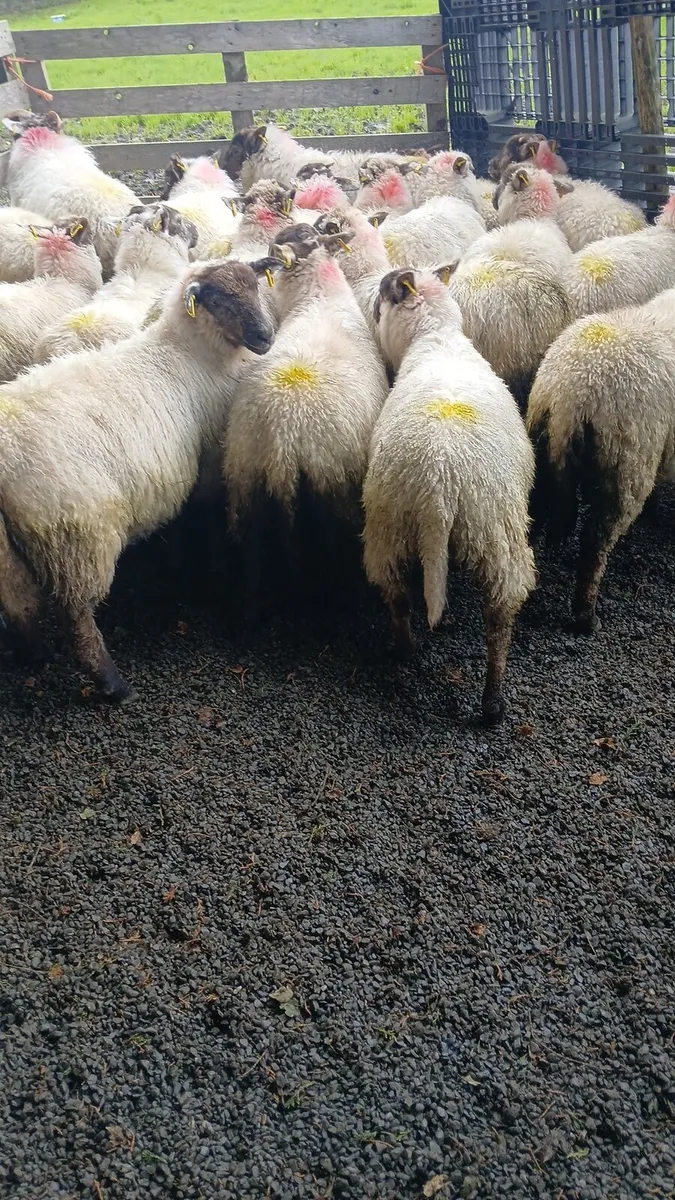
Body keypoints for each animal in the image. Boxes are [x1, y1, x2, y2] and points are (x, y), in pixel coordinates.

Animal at [0, 259, 274, 698]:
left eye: (254, 286)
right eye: (217, 300)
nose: (265, 336)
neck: (190, 351)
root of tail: (7, 450)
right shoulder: (209, 465)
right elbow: (205, 522)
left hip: (7, 547)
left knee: (19, 603)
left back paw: (34, 656)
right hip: (78, 532)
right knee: (76, 614)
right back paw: (112, 684)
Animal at [363, 266, 535, 723]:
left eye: (382, 299)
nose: (371, 310)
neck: (437, 339)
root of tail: (439, 485)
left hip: (390, 523)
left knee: (397, 595)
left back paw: (408, 650)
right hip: (493, 531)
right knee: (498, 616)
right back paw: (492, 701)